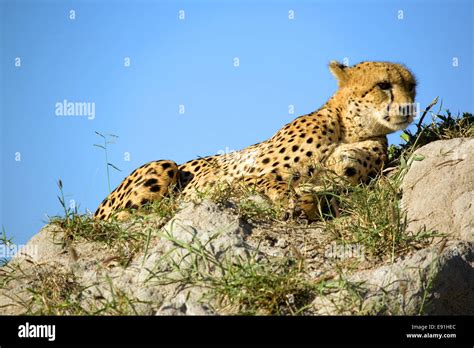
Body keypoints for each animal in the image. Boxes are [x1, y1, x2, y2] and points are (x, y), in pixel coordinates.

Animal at [94, 60, 416, 220]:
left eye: (412, 86)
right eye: (384, 85)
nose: (408, 107)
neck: (348, 129)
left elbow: (330, 187)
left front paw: (307, 203)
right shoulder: (234, 179)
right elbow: (269, 179)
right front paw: (290, 199)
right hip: (164, 165)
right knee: (119, 219)